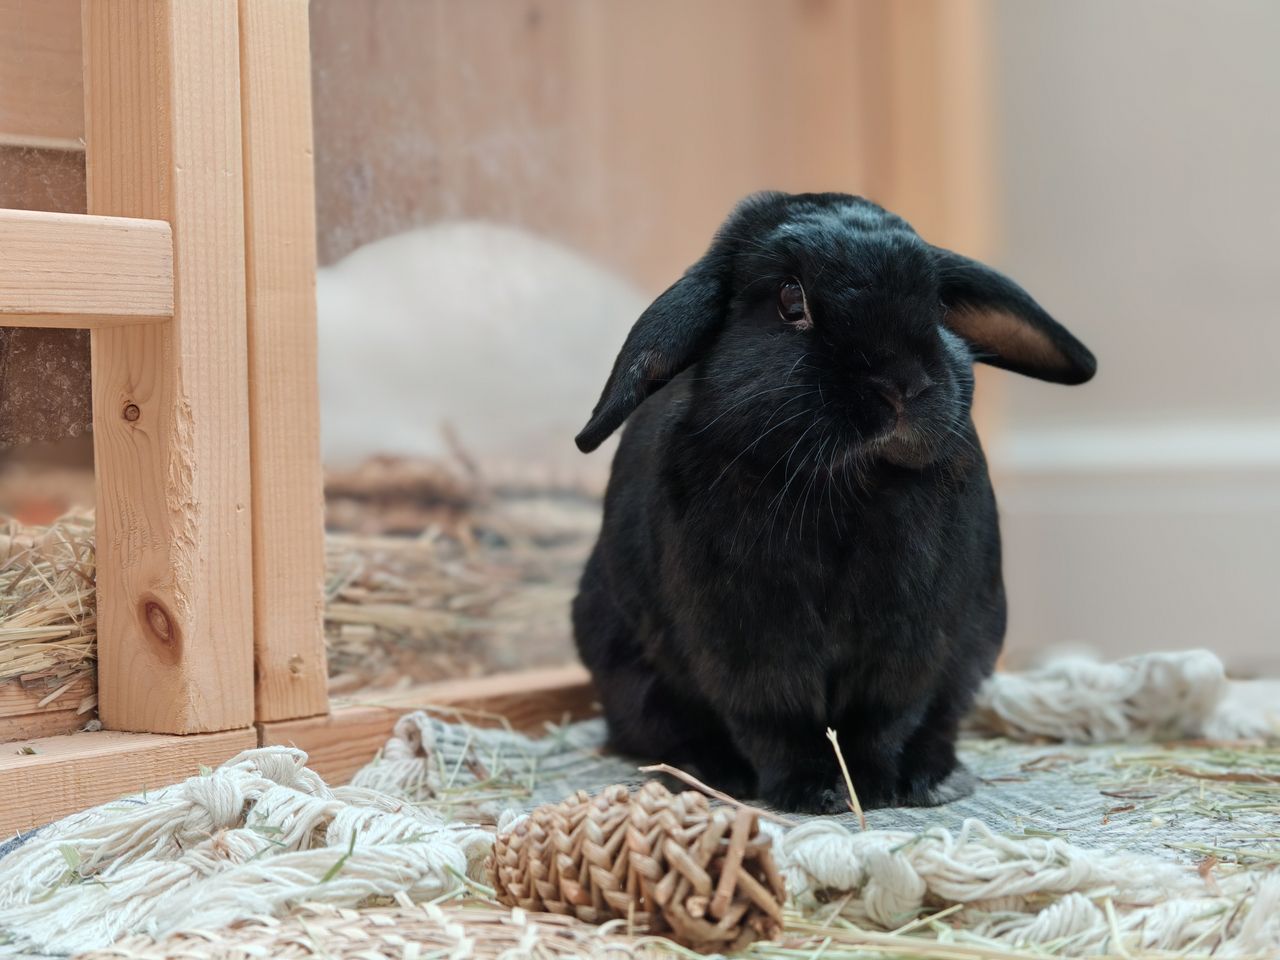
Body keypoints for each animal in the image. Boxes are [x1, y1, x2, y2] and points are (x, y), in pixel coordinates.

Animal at [571, 191, 1096, 813]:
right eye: (790, 299)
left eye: (936, 302)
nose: (902, 384)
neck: (848, 487)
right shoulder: (748, 645)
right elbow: (779, 720)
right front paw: (816, 792)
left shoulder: (910, 642)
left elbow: (885, 717)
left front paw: (871, 786)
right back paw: (705, 771)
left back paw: (935, 778)